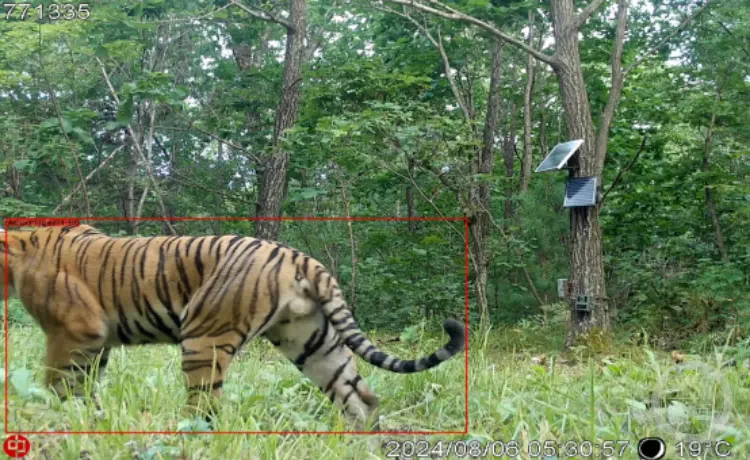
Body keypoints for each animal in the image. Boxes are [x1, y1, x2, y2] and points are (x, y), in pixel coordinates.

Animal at [1, 225, 464, 430]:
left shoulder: (74, 332)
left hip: (202, 337)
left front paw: (48, 415)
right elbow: (84, 385)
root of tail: (301, 258)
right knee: (362, 398)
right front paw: (87, 417)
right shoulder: (97, 344)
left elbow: (56, 380)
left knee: (206, 408)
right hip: (313, 342)